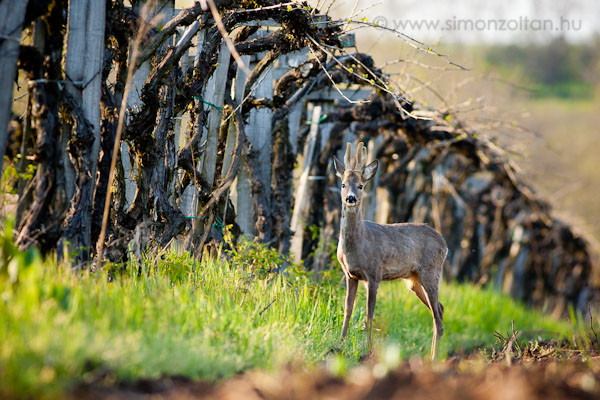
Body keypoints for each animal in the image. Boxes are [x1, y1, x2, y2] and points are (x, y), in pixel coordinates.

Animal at [336, 142, 448, 360]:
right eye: (343, 184)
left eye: (361, 185)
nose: (351, 198)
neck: (357, 245)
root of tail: (445, 244)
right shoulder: (350, 275)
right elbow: (347, 310)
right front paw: (339, 346)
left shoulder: (374, 274)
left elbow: (369, 316)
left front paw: (368, 351)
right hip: (413, 280)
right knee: (439, 308)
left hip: (431, 271)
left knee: (437, 316)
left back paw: (433, 359)